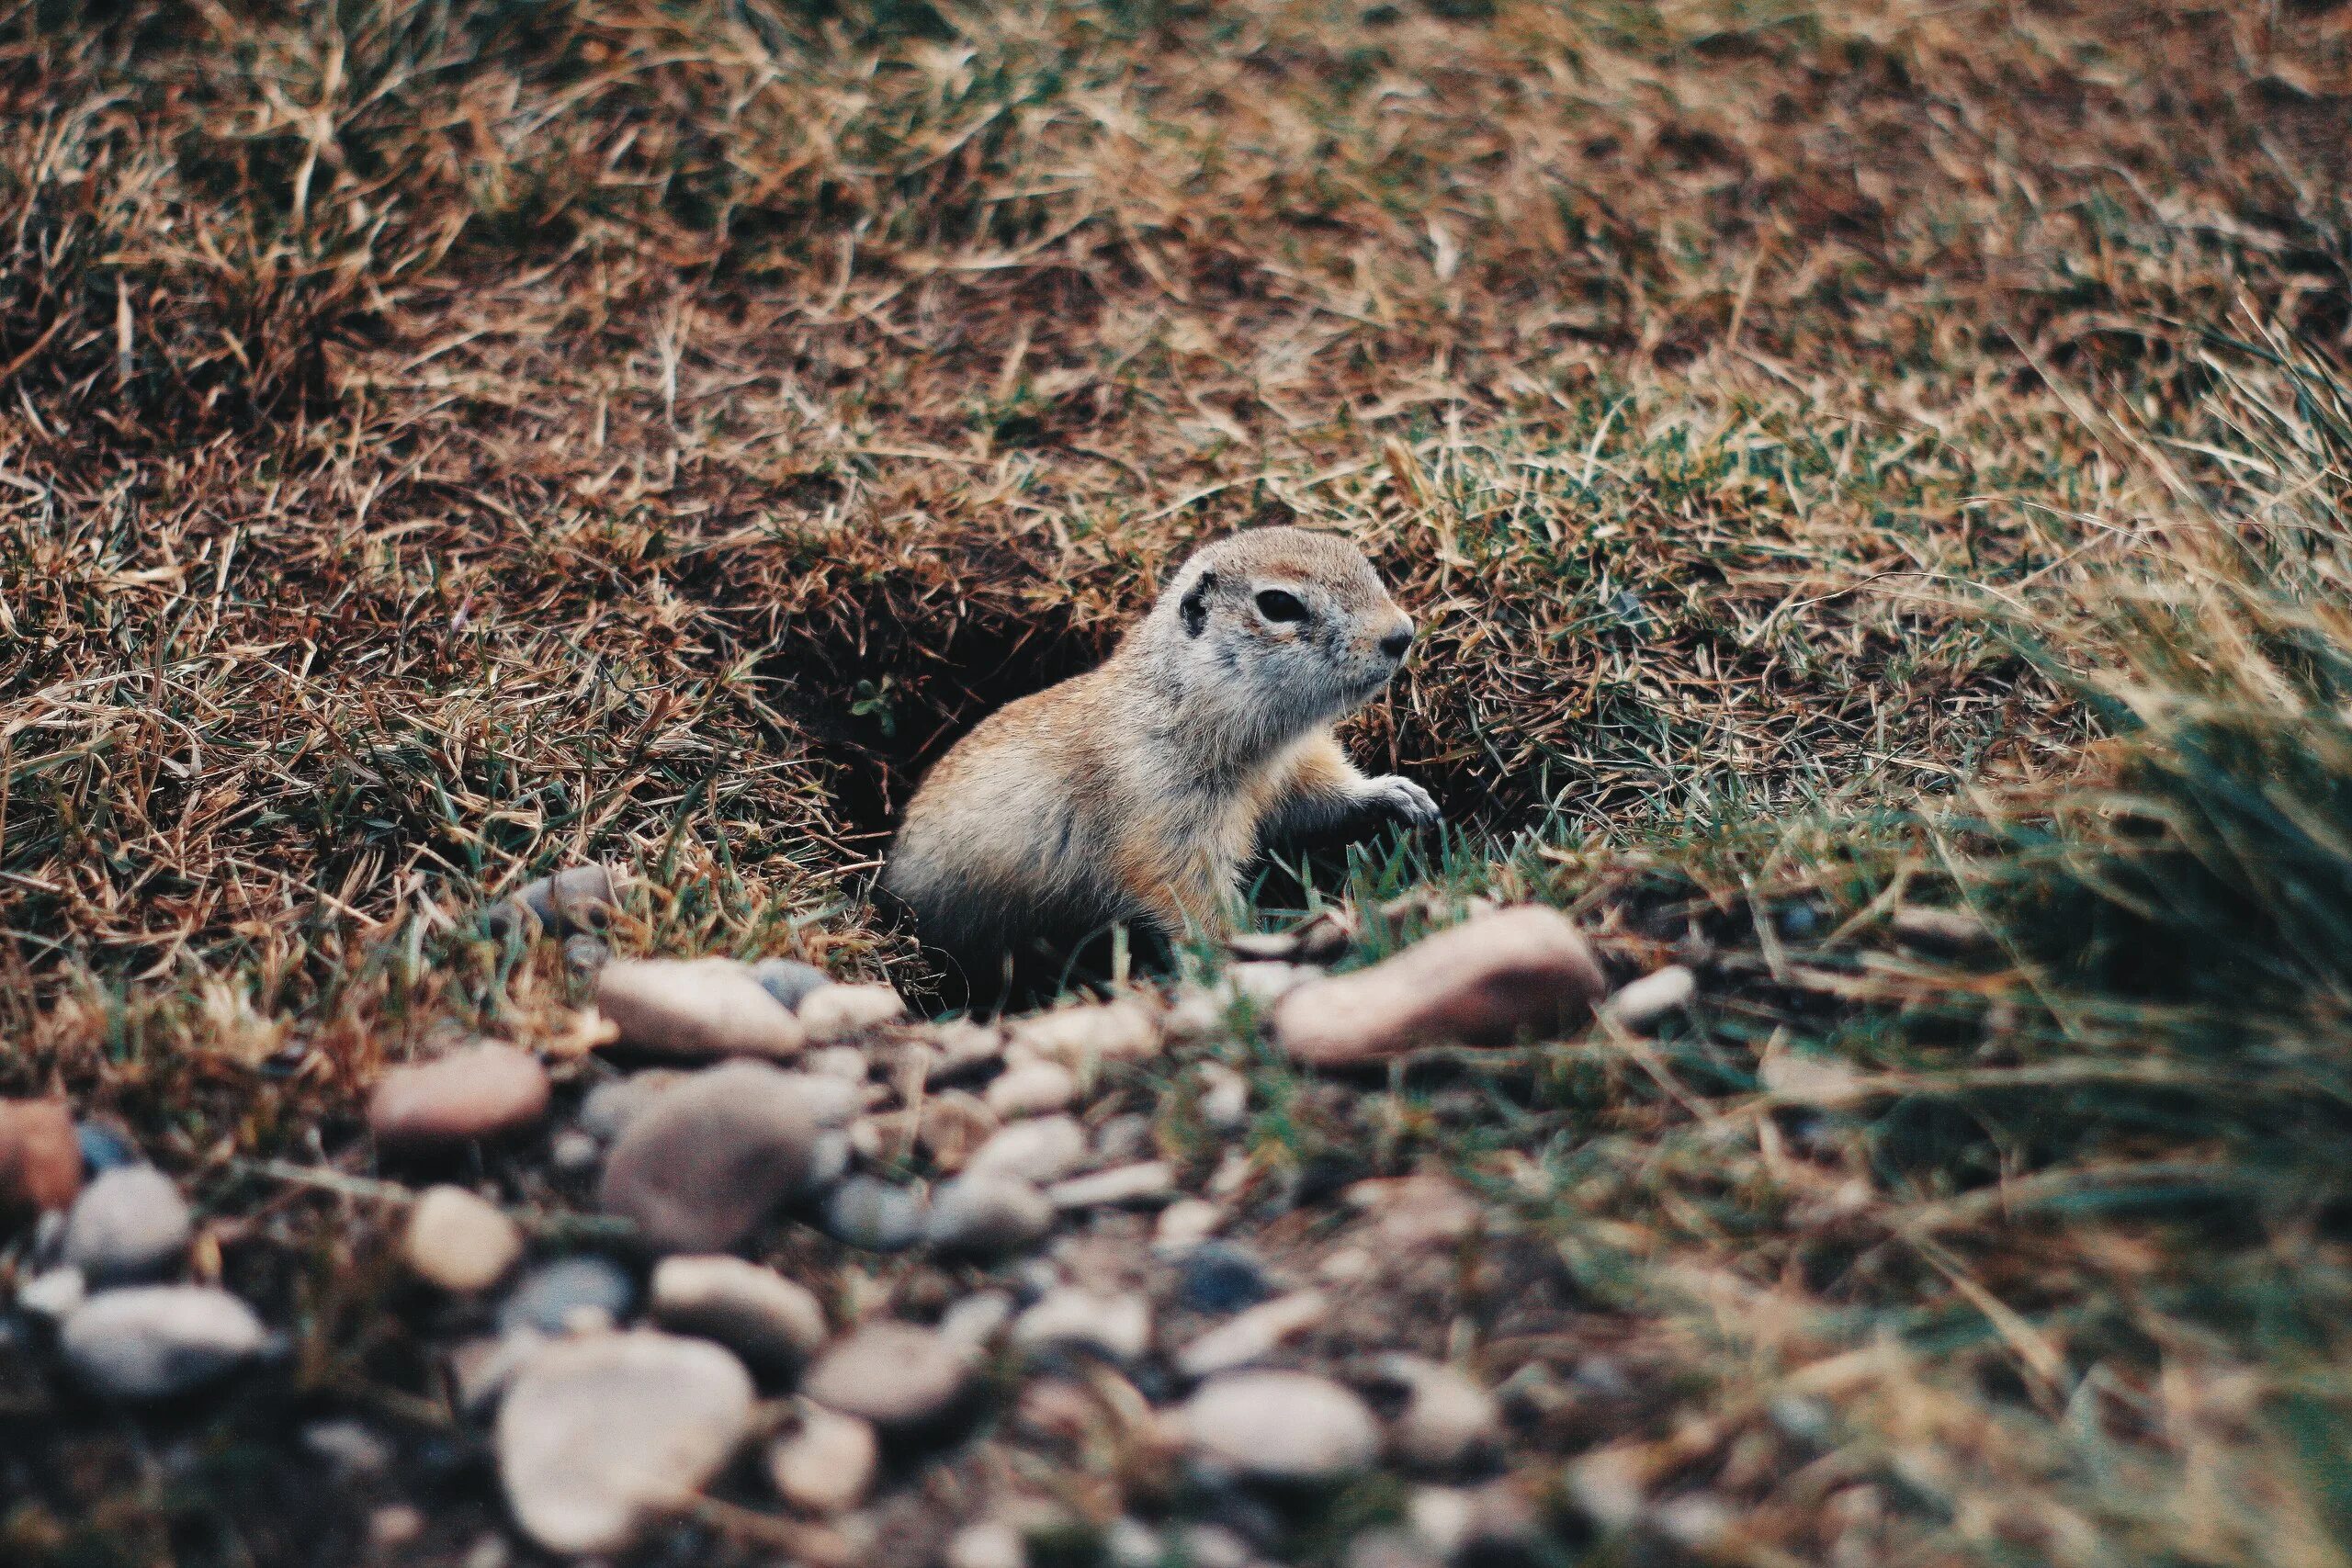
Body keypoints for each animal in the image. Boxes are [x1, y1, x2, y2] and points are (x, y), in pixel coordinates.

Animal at [884, 533, 1430, 987]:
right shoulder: (1167, 817)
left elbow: (1323, 794)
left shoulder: (1293, 769)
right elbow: (1189, 892)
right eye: (1278, 603)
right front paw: (1237, 948)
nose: (1402, 634)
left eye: (1361, 560)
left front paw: (1401, 796)